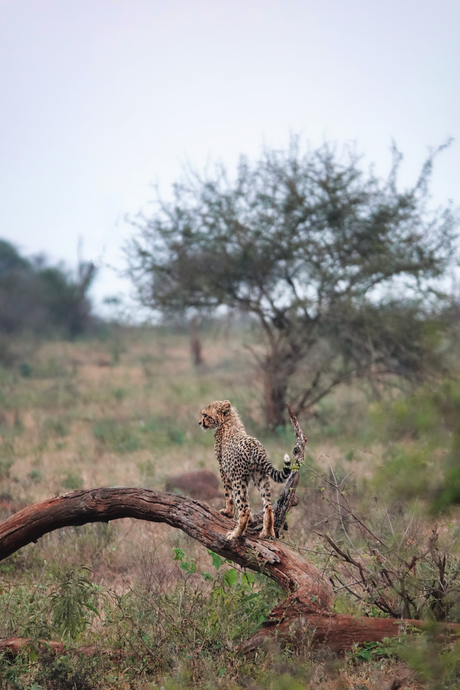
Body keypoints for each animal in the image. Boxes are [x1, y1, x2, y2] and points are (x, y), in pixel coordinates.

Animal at [199, 400, 292, 540]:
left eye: (205, 415)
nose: (199, 422)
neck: (228, 420)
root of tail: (256, 446)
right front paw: (251, 520)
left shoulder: (223, 469)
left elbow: (228, 493)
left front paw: (228, 512)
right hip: (260, 477)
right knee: (268, 506)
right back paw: (267, 533)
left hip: (238, 480)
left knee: (244, 509)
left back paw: (235, 534)